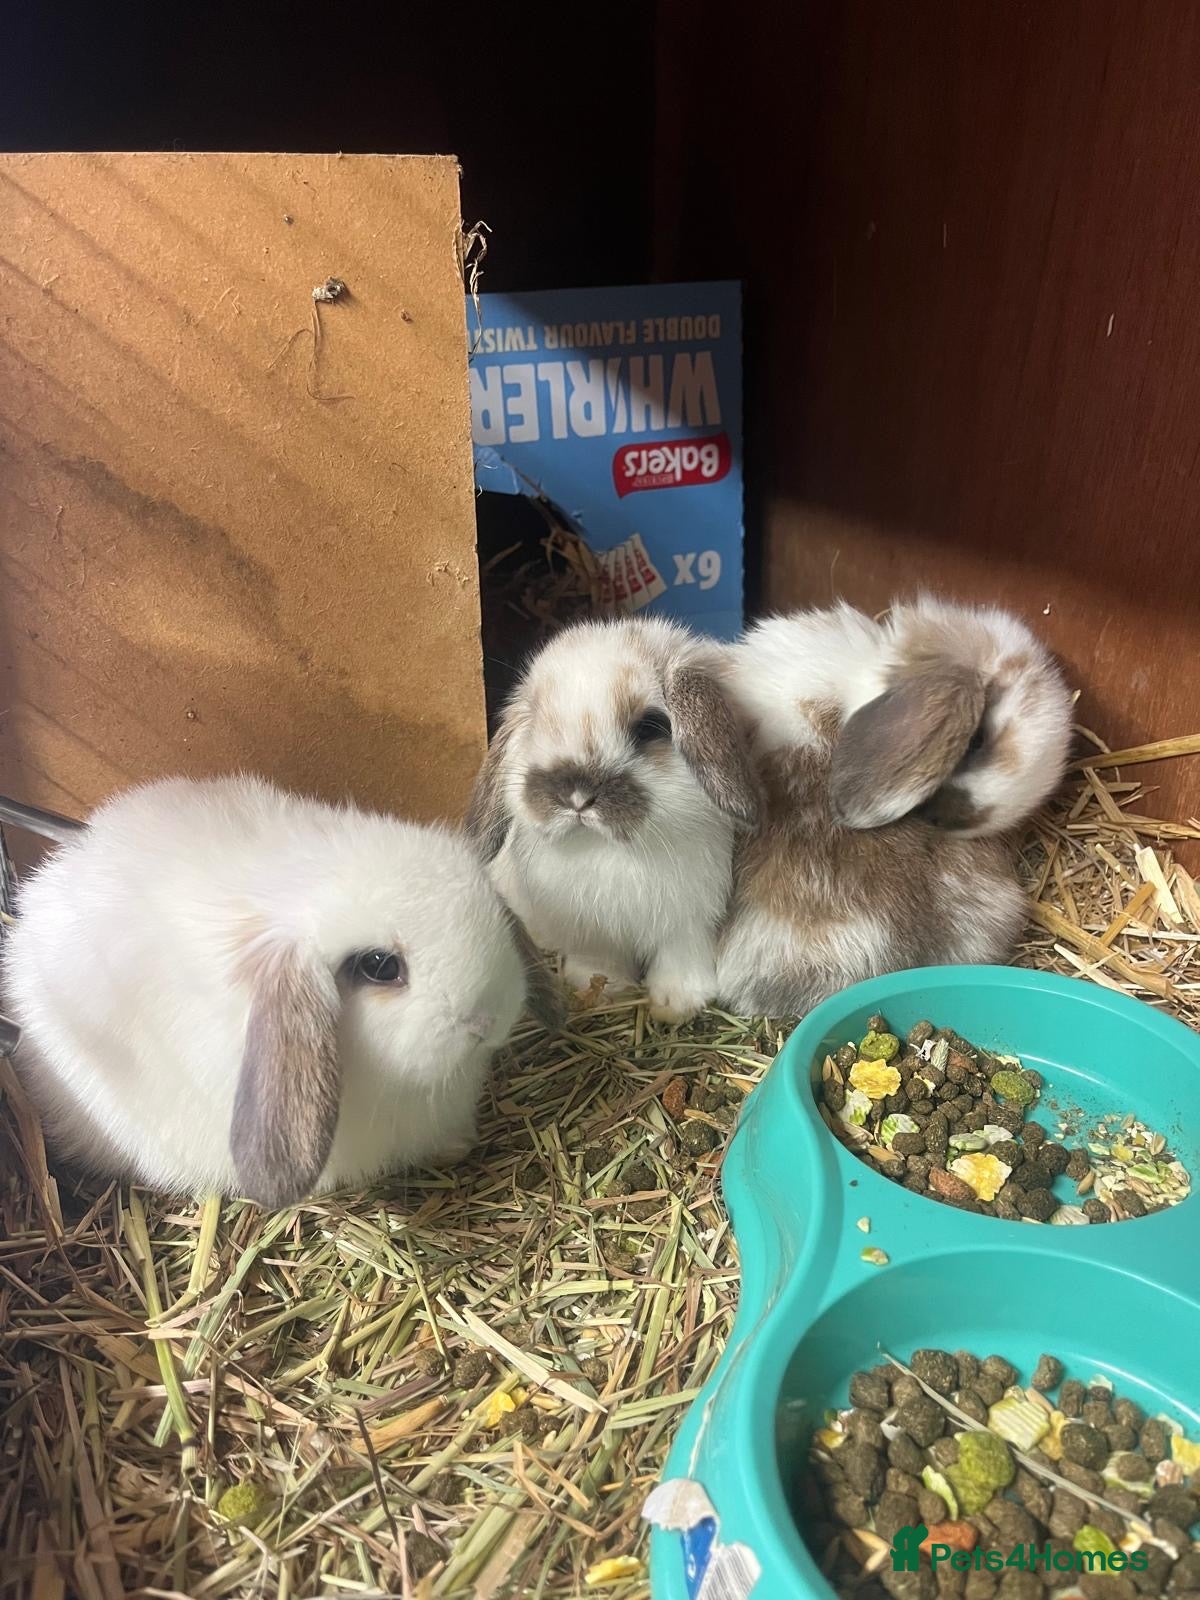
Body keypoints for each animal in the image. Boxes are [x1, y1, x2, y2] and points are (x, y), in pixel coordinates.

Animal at [467, 616, 761, 1021]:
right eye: (537, 723)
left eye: (650, 727)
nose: (576, 797)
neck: (608, 849)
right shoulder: (591, 933)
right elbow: (600, 963)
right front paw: (602, 991)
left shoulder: (689, 923)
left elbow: (680, 958)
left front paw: (676, 1004)